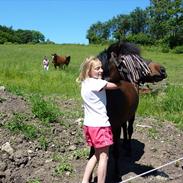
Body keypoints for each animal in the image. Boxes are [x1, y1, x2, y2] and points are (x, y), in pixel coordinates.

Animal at [89, 41, 168, 182]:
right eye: (134, 61)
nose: (162, 69)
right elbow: (93, 152)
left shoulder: (115, 128)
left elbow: (115, 152)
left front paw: (116, 174)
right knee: (125, 128)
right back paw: (125, 144)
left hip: (132, 115)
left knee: (129, 129)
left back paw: (128, 148)